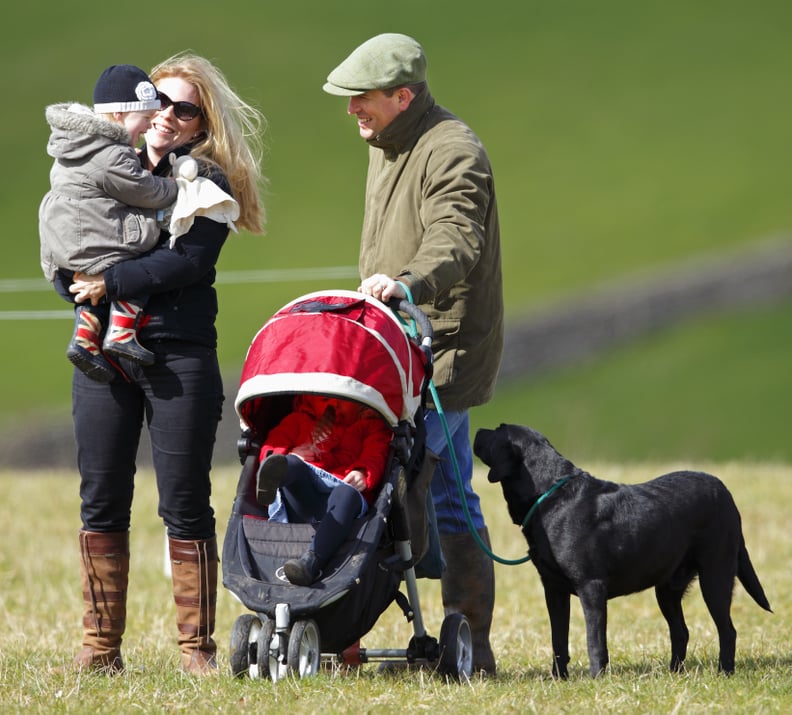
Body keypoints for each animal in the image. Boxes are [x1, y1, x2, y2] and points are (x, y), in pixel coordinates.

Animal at [474, 422, 772, 680]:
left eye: (497, 430)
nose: (477, 430)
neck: (550, 496)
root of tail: (725, 492)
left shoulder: (591, 586)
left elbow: (594, 639)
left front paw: (596, 677)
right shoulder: (553, 588)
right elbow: (558, 638)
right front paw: (559, 678)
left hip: (715, 575)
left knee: (728, 630)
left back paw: (725, 672)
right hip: (667, 588)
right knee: (681, 631)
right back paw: (674, 673)